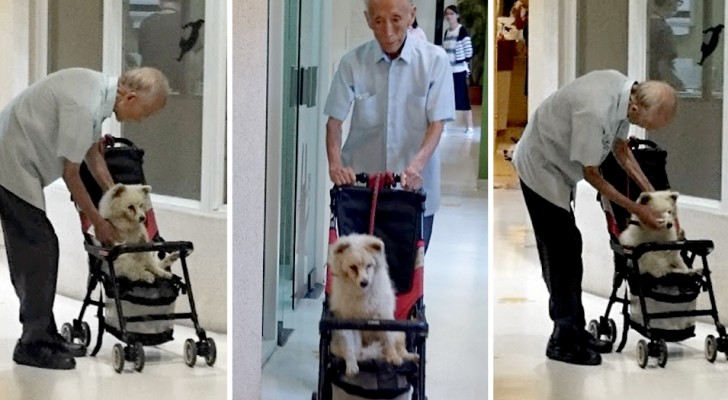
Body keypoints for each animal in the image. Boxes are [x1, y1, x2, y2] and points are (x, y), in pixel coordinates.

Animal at [328, 233, 418, 376]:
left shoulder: (384, 316)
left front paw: (393, 357)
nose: (364, 282)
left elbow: (388, 341)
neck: (362, 293)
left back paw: (412, 357)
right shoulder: (346, 322)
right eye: (353, 267)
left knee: (402, 350)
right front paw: (351, 366)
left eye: (369, 265)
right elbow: (349, 347)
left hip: (399, 333)